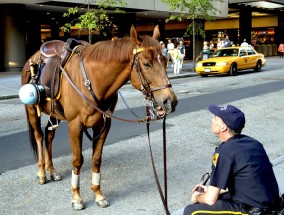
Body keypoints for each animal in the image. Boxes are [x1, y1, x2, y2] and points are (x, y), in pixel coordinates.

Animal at [21, 25, 178, 210]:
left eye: (166, 61)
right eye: (146, 64)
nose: (170, 101)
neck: (92, 80)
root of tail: (32, 58)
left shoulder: (103, 124)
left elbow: (96, 159)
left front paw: (98, 194)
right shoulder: (75, 126)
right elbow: (77, 160)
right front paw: (76, 197)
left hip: (55, 114)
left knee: (49, 135)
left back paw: (51, 170)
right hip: (32, 111)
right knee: (39, 136)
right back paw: (41, 172)